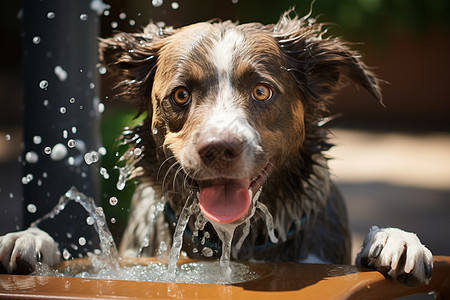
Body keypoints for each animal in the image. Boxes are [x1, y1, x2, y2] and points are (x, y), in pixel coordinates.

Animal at [1, 9, 434, 286]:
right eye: (180, 95)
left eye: (262, 90)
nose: (220, 148)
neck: (238, 239)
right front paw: (30, 240)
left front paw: (394, 239)